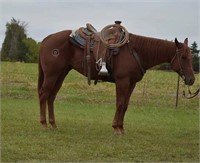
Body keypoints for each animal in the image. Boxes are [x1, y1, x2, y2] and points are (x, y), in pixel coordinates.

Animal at [38, 29, 195, 134]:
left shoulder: (131, 83)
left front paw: (121, 127)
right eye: (183, 58)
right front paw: (116, 128)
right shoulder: (122, 81)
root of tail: (47, 39)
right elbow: (119, 103)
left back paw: (53, 124)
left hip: (61, 74)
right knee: (44, 95)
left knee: (51, 97)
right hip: (52, 74)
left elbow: (124, 105)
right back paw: (44, 124)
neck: (136, 51)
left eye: (191, 57)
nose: (192, 79)